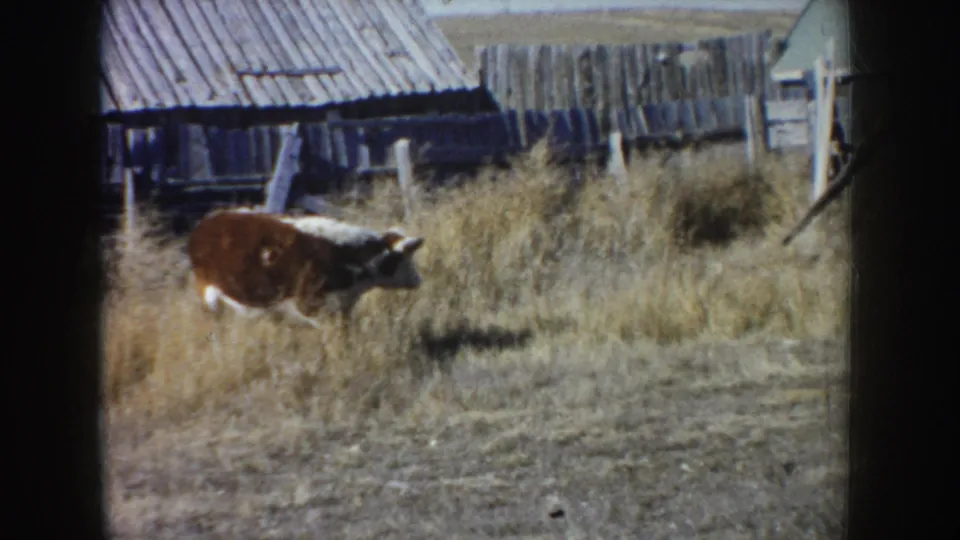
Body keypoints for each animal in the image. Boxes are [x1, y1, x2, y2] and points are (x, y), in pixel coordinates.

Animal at [186, 209, 425, 329]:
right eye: (405, 258)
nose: (418, 280)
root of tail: (205, 224)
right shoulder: (313, 305)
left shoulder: (342, 306)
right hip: (209, 295)